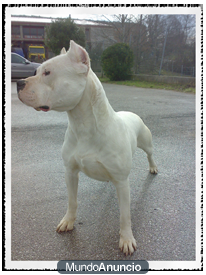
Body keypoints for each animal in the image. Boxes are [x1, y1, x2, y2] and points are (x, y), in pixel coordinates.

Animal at [16, 40, 158, 256]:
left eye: (48, 72)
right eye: (37, 71)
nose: (19, 83)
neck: (82, 124)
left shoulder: (122, 181)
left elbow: (125, 215)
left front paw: (126, 239)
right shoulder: (70, 172)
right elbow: (72, 201)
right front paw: (68, 221)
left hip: (145, 141)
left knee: (150, 154)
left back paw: (153, 167)